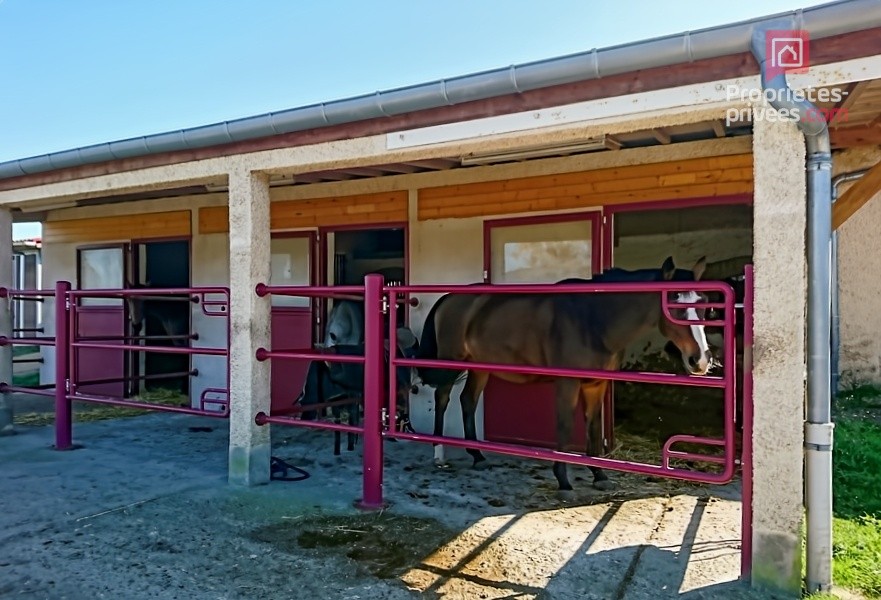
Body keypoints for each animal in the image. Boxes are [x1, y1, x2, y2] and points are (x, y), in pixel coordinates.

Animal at [416, 255, 712, 494]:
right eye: (673, 305)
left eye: (705, 304)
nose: (700, 360)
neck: (593, 320)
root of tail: (449, 298)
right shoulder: (567, 383)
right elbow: (565, 425)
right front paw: (563, 480)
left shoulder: (596, 385)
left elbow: (593, 427)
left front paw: (599, 475)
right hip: (451, 362)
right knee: (442, 399)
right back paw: (439, 454)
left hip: (480, 367)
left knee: (468, 401)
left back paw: (477, 456)